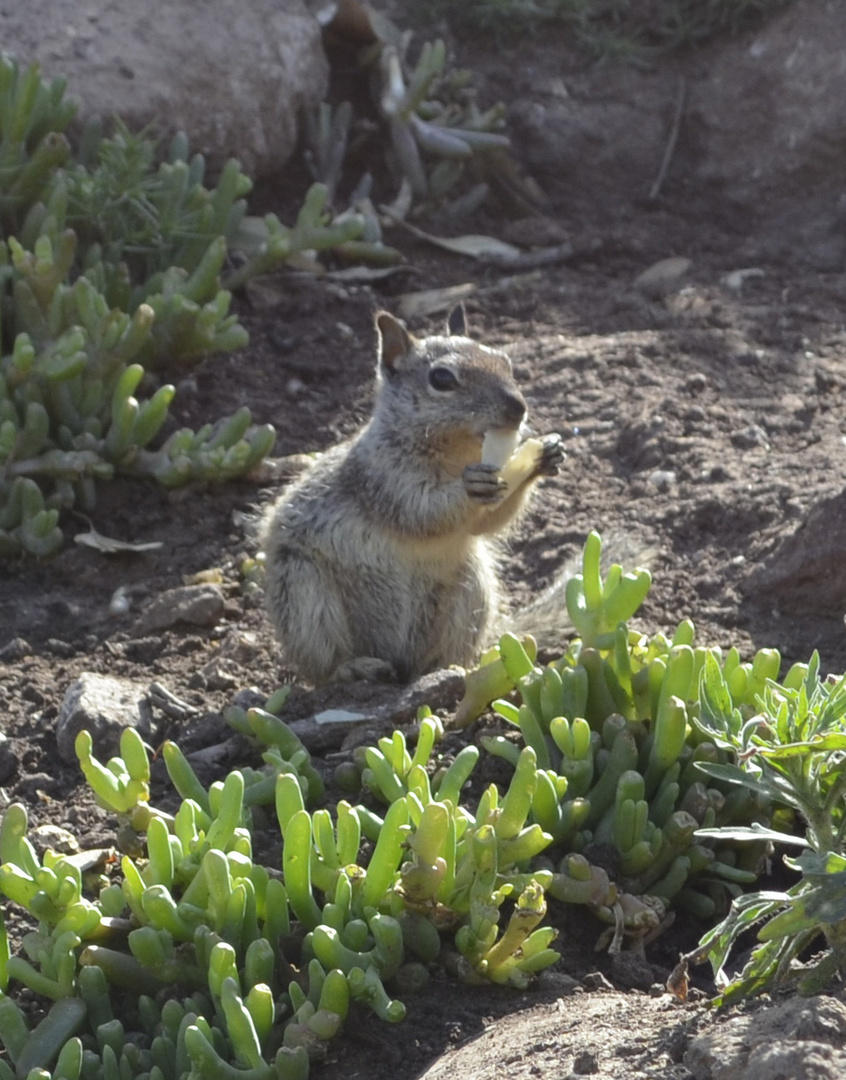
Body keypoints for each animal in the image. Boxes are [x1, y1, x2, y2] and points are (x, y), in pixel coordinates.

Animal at [258, 304, 561, 686]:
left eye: (504, 361)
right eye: (442, 379)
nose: (517, 408)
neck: (454, 455)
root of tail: (394, 658)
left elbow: (487, 524)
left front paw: (546, 456)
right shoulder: (382, 477)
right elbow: (421, 512)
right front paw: (470, 486)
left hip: (471, 588)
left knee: (433, 657)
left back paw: (448, 670)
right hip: (303, 592)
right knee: (324, 668)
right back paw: (355, 668)